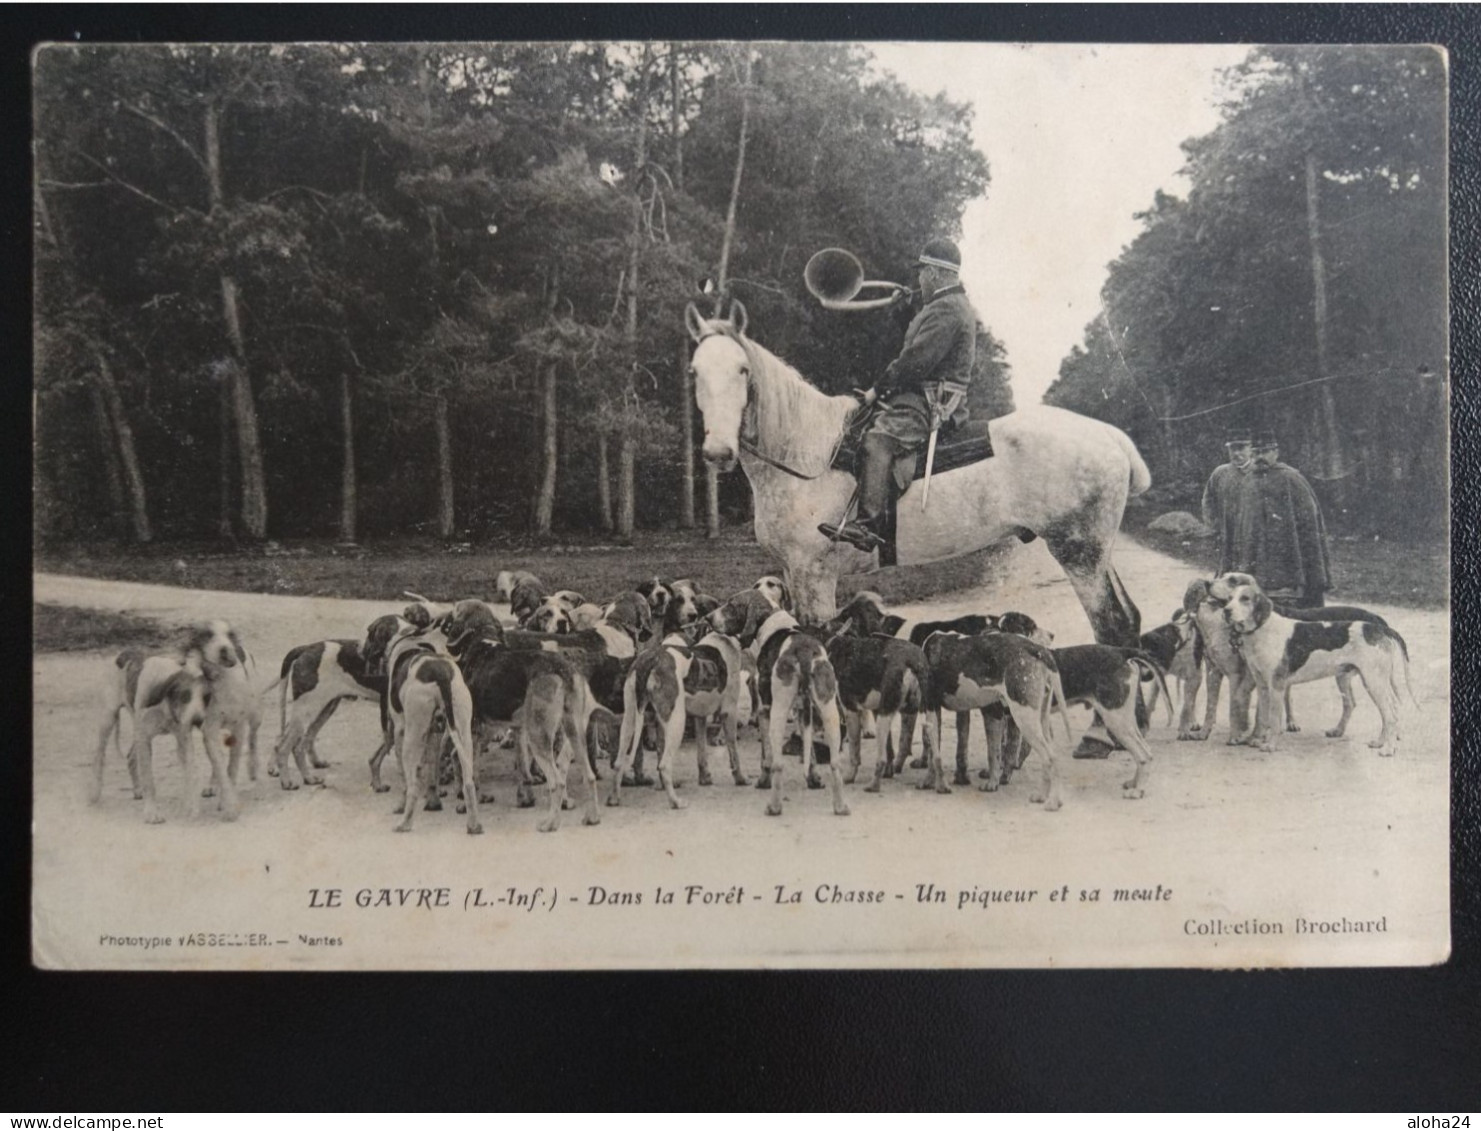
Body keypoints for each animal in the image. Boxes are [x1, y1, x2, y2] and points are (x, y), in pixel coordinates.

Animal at [687, 300, 1149, 645]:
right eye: (694, 371)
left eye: (742, 370)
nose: (718, 451)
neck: (809, 455)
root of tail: (1108, 435)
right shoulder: (793, 573)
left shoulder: (815, 575)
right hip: (1097, 552)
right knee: (1128, 619)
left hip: (1079, 553)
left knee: (1112, 625)